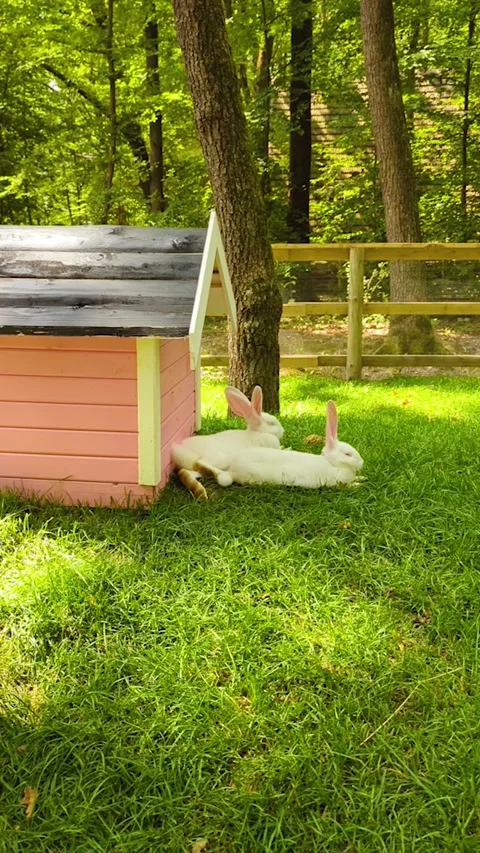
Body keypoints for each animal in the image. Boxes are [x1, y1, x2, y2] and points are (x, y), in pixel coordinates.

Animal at [207, 400, 363, 489]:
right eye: (348, 454)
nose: (361, 463)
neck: (332, 464)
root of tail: (233, 470)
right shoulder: (337, 483)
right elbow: (346, 485)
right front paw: (357, 485)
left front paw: (361, 478)